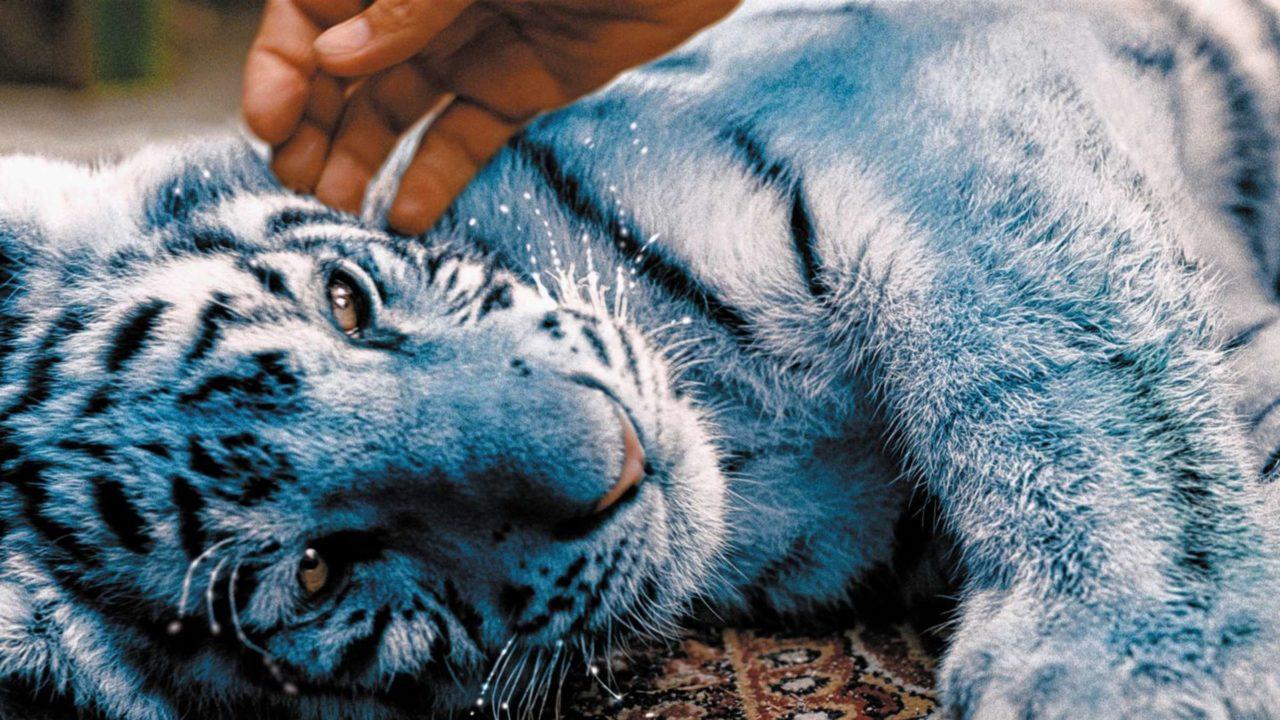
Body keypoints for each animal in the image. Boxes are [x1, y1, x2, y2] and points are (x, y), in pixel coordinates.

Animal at [7, 0, 1280, 717]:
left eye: (347, 301)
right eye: (320, 570)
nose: (616, 456)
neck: (745, 439)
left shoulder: (897, 90)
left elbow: (1059, 357)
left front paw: (1139, 658)